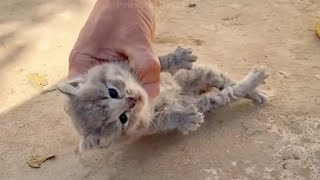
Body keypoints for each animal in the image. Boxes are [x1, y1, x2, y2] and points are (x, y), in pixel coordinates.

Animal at [58, 46, 270, 152]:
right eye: (123, 119)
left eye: (112, 92)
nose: (133, 100)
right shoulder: (152, 123)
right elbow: (168, 117)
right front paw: (186, 118)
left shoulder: (133, 65)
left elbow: (158, 62)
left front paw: (177, 57)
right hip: (202, 101)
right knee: (228, 94)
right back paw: (254, 80)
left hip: (194, 74)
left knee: (224, 80)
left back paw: (257, 90)